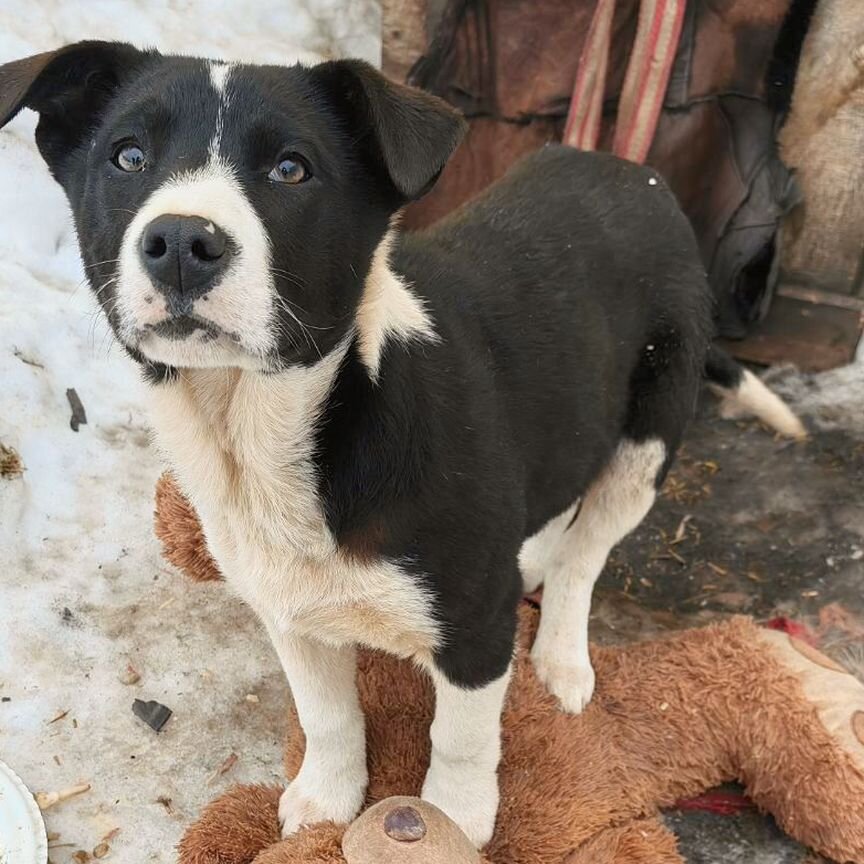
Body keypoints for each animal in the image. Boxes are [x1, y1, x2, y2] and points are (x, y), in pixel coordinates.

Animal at [0, 42, 808, 852]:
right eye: (128, 156)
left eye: (291, 168)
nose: (179, 245)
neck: (268, 429)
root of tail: (636, 173)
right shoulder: (286, 605)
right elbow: (325, 714)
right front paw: (325, 800)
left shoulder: (476, 624)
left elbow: (462, 735)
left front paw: (451, 819)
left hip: (648, 438)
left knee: (587, 551)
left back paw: (561, 658)